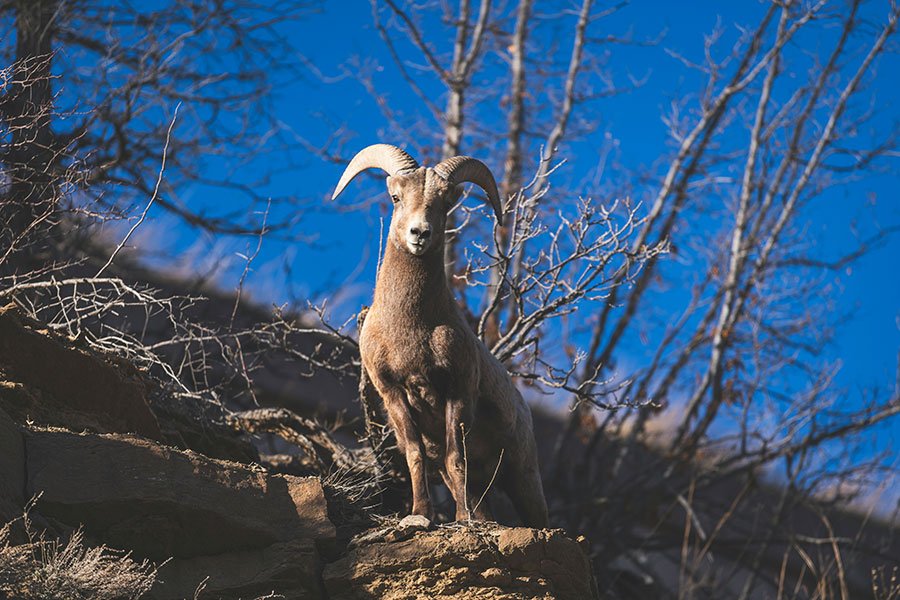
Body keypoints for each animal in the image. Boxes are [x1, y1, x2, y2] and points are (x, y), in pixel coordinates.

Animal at [332, 143, 549, 528]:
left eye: (445, 203)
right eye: (396, 197)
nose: (419, 233)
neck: (411, 326)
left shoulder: (457, 391)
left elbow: (454, 456)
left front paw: (462, 519)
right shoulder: (394, 394)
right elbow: (416, 454)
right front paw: (420, 514)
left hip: (523, 475)